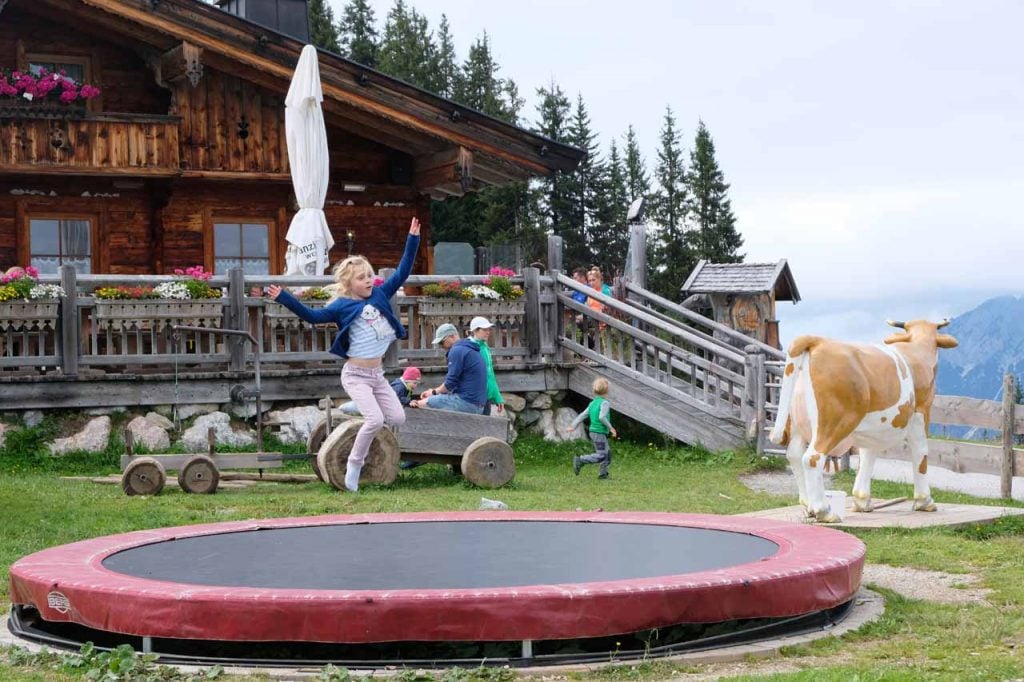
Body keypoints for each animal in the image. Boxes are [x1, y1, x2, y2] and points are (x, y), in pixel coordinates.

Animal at [770, 317, 958, 520]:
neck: (918, 350)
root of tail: (818, 340)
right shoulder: (920, 413)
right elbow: (921, 454)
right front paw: (925, 501)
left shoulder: (873, 427)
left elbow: (867, 455)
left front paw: (862, 501)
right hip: (834, 421)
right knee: (812, 458)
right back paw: (824, 511)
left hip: (796, 423)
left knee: (794, 455)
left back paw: (808, 507)